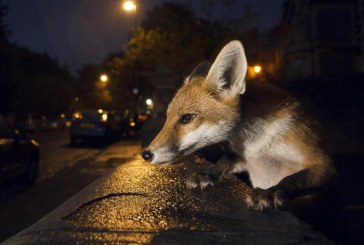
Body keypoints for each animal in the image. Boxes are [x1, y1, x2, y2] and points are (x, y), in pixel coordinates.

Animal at [141, 40, 338, 212]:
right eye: (167, 117)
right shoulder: (244, 159)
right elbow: (224, 160)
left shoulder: (323, 163)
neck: (257, 145)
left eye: (187, 118)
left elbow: (292, 179)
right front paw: (207, 174)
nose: (145, 154)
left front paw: (270, 192)